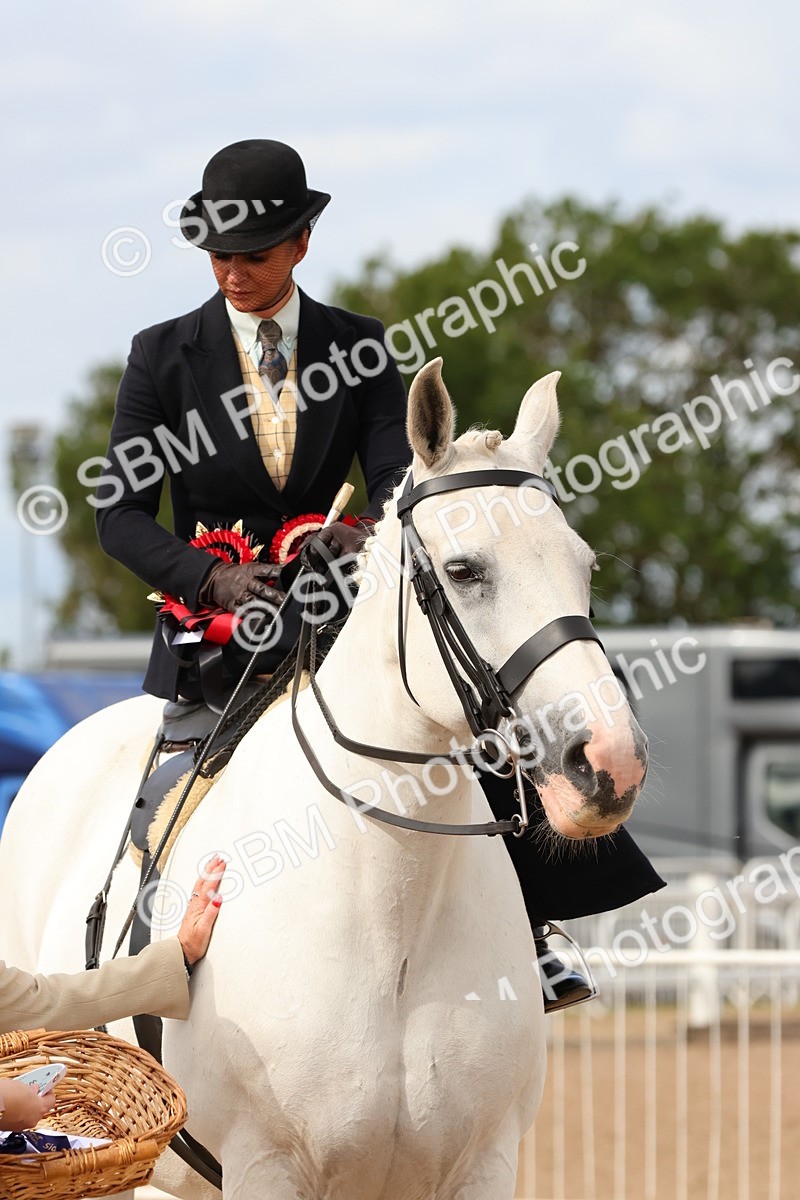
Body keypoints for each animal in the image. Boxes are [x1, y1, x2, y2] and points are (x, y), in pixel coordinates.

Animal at [0, 360, 648, 1199]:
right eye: (465, 570)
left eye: (585, 566)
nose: (607, 761)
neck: (389, 913)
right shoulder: (267, 1169)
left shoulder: (482, 1165)